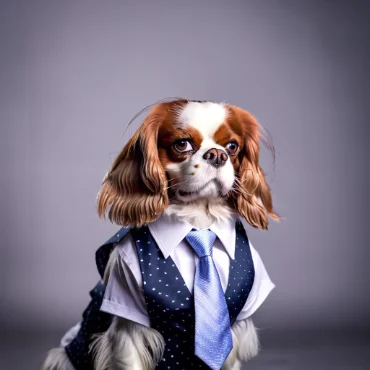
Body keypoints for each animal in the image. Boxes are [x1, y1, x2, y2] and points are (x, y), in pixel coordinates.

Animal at [42, 99, 278, 370]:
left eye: (232, 146)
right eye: (182, 144)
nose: (217, 155)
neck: (199, 224)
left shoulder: (235, 328)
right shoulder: (128, 325)